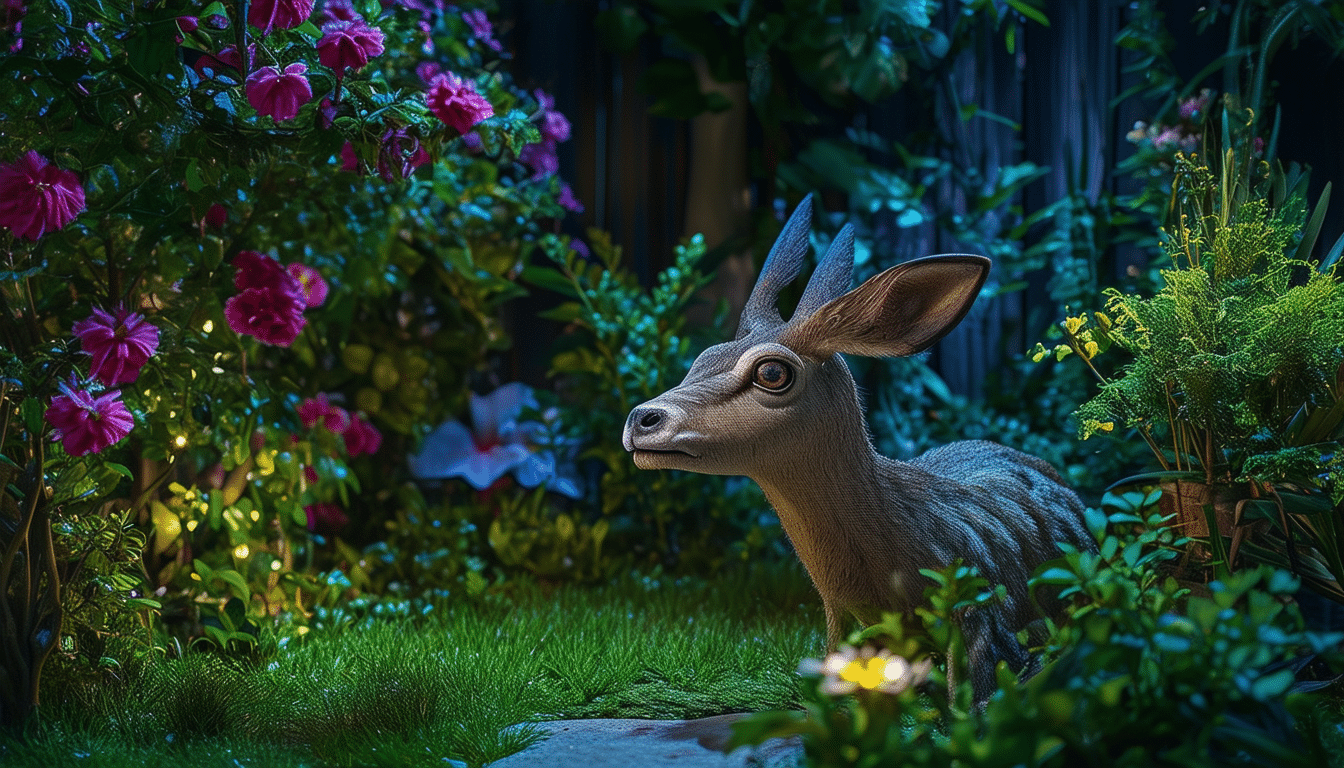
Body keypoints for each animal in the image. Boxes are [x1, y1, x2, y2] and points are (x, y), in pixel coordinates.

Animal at [618, 195, 1091, 699]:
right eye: (703, 358)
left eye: (772, 372)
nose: (640, 419)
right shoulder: (840, 621)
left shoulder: (977, 614)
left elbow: (973, 702)